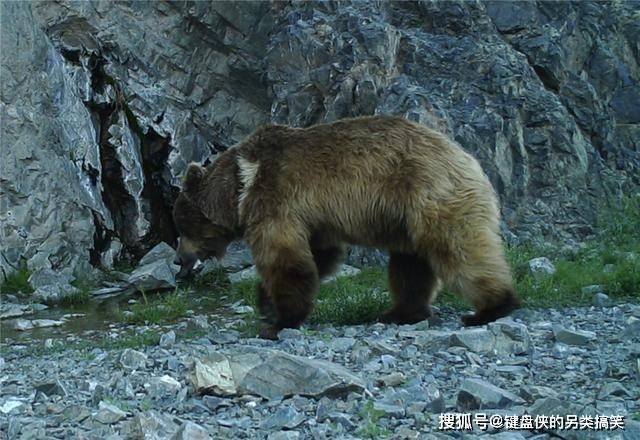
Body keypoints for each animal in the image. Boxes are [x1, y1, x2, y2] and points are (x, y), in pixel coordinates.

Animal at [174, 115, 520, 338]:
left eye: (182, 227)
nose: (179, 259)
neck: (240, 186)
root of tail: (467, 156)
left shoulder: (275, 199)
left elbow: (285, 259)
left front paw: (279, 320)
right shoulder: (313, 219)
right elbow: (319, 256)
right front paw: (267, 303)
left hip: (430, 195)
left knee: (458, 249)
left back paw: (491, 307)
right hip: (405, 217)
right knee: (410, 265)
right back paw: (401, 312)